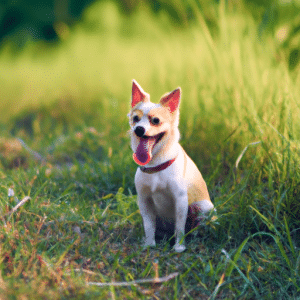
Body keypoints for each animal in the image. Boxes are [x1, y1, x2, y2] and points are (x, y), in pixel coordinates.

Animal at [127, 79, 214, 251]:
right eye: (135, 119)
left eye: (155, 121)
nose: (139, 129)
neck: (156, 165)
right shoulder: (144, 201)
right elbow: (148, 226)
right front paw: (149, 244)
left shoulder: (180, 200)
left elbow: (180, 226)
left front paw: (179, 247)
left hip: (203, 206)